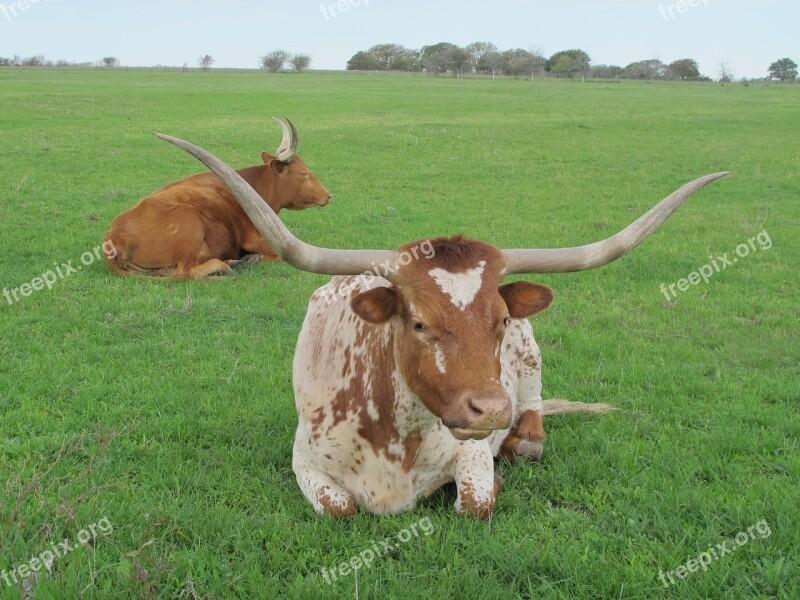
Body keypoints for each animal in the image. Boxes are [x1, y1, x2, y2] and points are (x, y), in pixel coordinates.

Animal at [104, 118, 330, 280]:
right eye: (304, 173)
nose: (328, 195)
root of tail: (112, 236)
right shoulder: (256, 239)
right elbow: (274, 257)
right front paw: (251, 259)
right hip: (190, 221)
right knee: (188, 272)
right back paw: (227, 265)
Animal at [158, 129, 732, 516]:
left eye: (499, 321)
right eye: (418, 324)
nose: (491, 409)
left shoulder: (473, 448)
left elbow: (475, 501)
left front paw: (495, 479)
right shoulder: (306, 463)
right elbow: (341, 508)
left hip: (532, 359)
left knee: (536, 413)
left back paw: (525, 441)